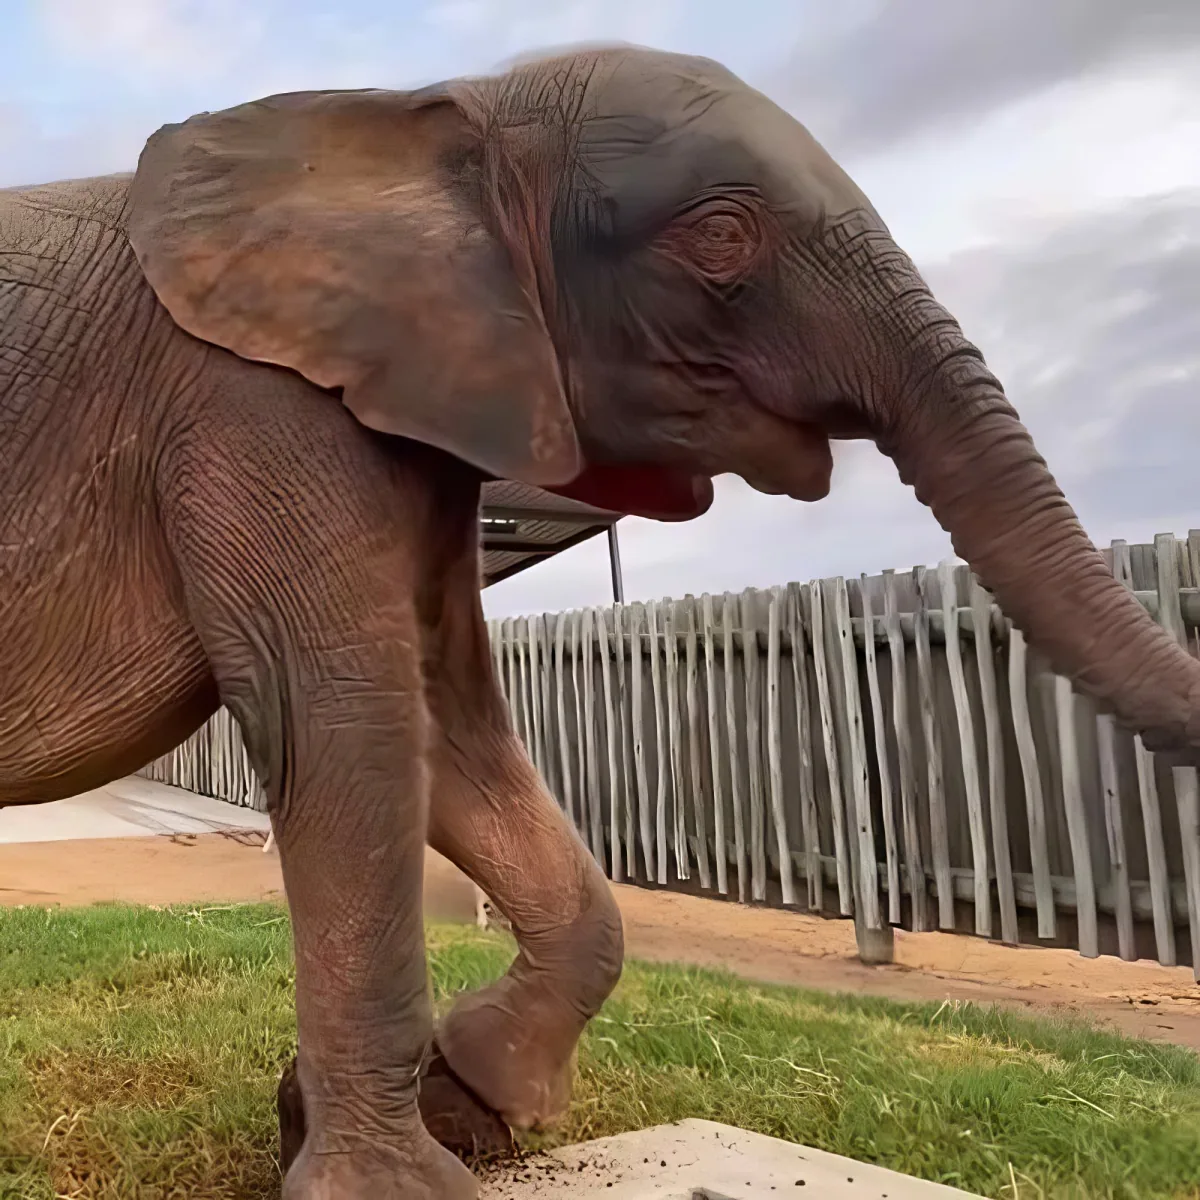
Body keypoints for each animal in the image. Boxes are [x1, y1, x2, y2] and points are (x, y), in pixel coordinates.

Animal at [3, 40, 1199, 1199]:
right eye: (720, 235)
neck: (440, 111)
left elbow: (451, 734)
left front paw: (469, 1097)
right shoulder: (254, 408)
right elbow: (350, 729)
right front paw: (394, 1181)